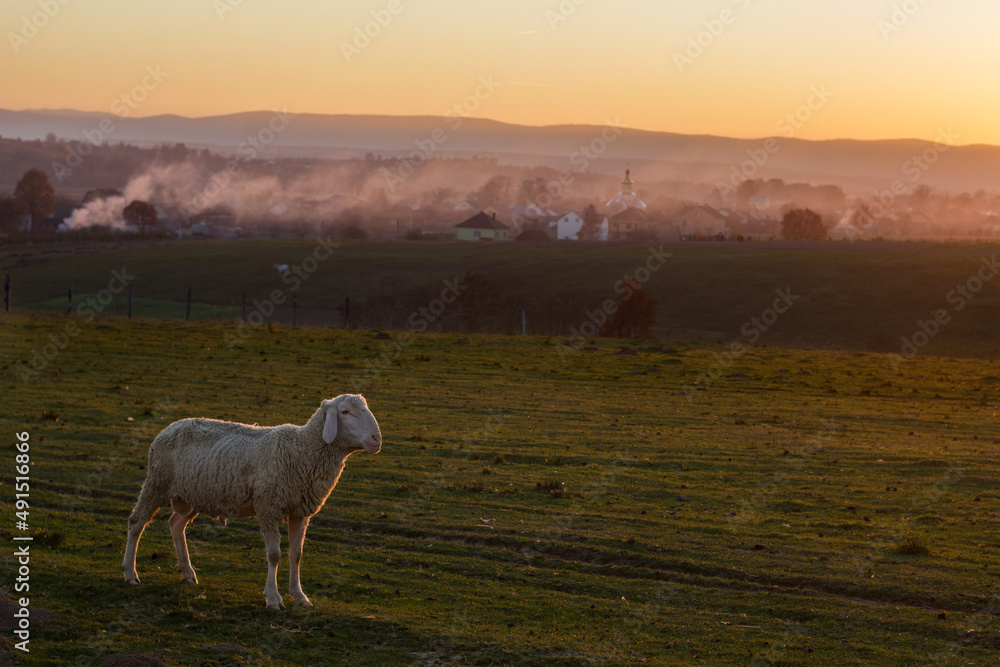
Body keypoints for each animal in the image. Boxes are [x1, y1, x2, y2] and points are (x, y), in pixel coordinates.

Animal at [118, 394, 382, 608]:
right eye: (345, 412)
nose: (376, 439)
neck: (302, 450)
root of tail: (170, 426)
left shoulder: (299, 511)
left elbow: (296, 554)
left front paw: (299, 596)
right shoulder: (268, 506)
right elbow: (274, 554)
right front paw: (273, 598)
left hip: (191, 494)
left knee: (175, 525)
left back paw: (187, 573)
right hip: (157, 482)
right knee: (136, 522)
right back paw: (130, 573)